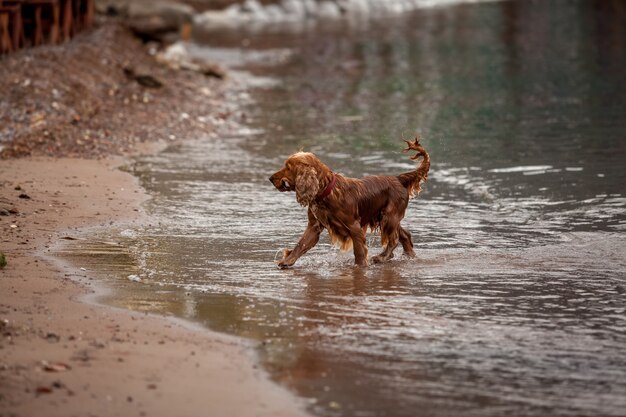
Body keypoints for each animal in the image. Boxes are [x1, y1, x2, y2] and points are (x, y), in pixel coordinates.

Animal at [268, 136, 428, 266]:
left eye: (287, 167)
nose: (270, 178)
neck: (327, 192)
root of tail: (398, 178)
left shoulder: (354, 227)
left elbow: (359, 253)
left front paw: (360, 267)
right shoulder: (314, 227)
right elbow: (300, 244)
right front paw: (287, 261)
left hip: (389, 217)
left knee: (393, 239)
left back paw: (382, 257)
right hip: (385, 217)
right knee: (405, 234)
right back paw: (409, 256)